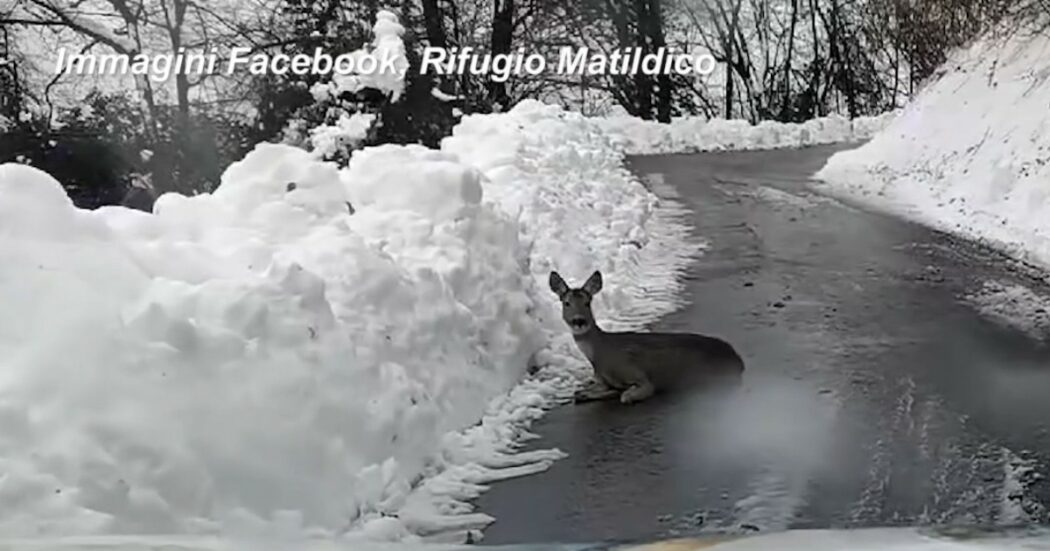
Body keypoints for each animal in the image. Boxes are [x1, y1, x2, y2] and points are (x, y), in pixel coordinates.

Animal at [550, 268, 747, 403]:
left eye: (587, 302)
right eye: (566, 303)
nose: (579, 321)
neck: (601, 355)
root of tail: (738, 360)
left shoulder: (639, 377)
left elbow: (625, 395)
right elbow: (585, 393)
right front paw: (584, 393)